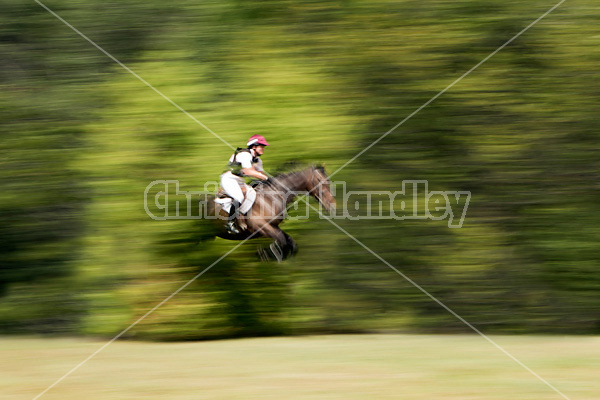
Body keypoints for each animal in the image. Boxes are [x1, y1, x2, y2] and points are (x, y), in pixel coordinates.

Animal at [206, 166, 338, 262]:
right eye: (322, 182)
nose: (332, 206)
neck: (271, 197)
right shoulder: (261, 227)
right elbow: (283, 240)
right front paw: (266, 253)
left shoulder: (274, 226)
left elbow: (290, 242)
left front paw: (272, 253)